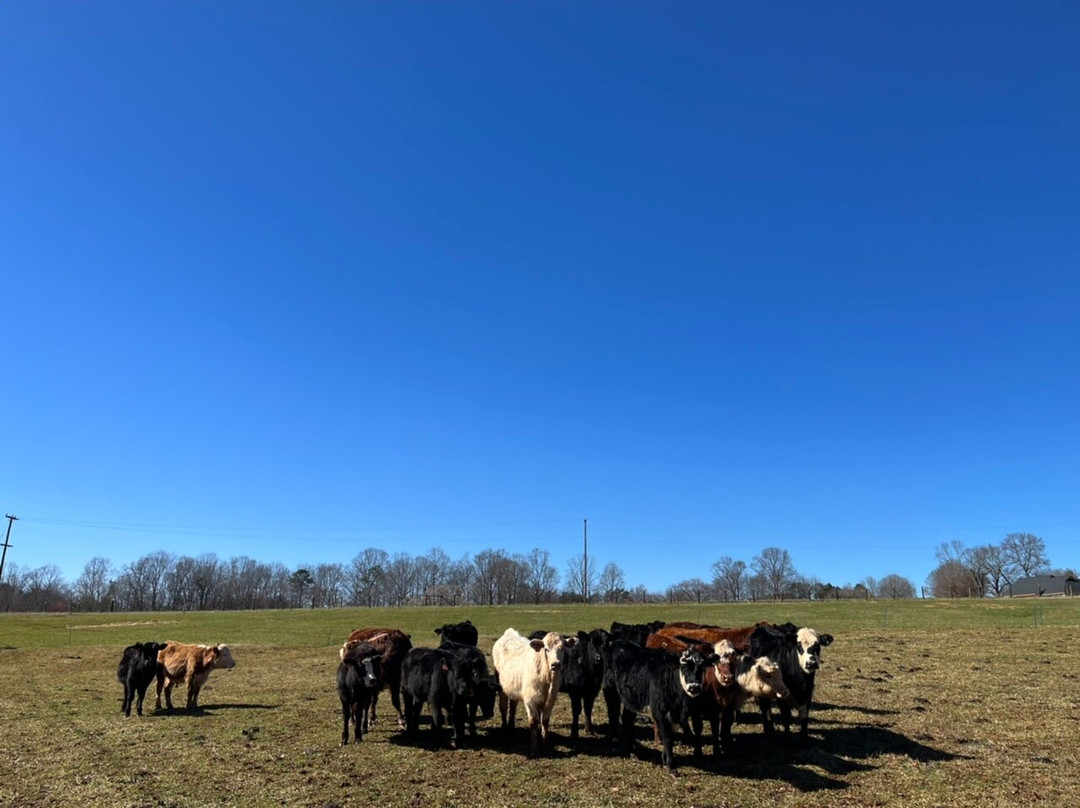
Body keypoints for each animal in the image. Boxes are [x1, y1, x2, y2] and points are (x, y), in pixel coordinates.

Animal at [600, 639, 717, 769]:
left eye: (702, 668)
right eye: (684, 667)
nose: (694, 687)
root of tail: (618, 642)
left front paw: (665, 759)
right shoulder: (660, 710)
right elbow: (667, 737)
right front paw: (670, 765)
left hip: (631, 698)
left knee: (627, 719)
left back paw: (633, 749)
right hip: (610, 691)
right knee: (613, 716)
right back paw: (613, 746)